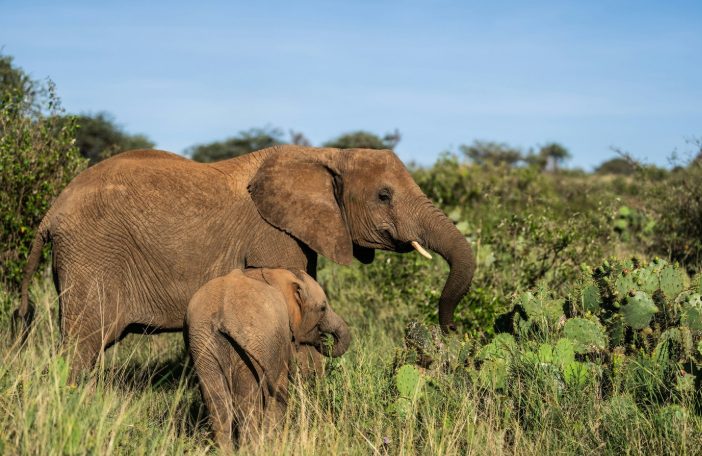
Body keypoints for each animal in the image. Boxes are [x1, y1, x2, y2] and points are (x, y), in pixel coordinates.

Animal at [15, 145, 475, 380]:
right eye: (384, 195)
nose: (453, 331)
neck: (327, 154)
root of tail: (51, 213)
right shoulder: (272, 235)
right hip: (92, 254)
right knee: (83, 346)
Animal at [185, 267, 350, 448]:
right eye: (322, 308)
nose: (323, 339)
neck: (275, 273)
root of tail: (222, 317)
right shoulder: (279, 337)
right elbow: (281, 383)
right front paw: (272, 442)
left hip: (203, 343)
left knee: (217, 401)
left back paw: (226, 449)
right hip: (251, 341)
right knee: (248, 400)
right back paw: (252, 447)